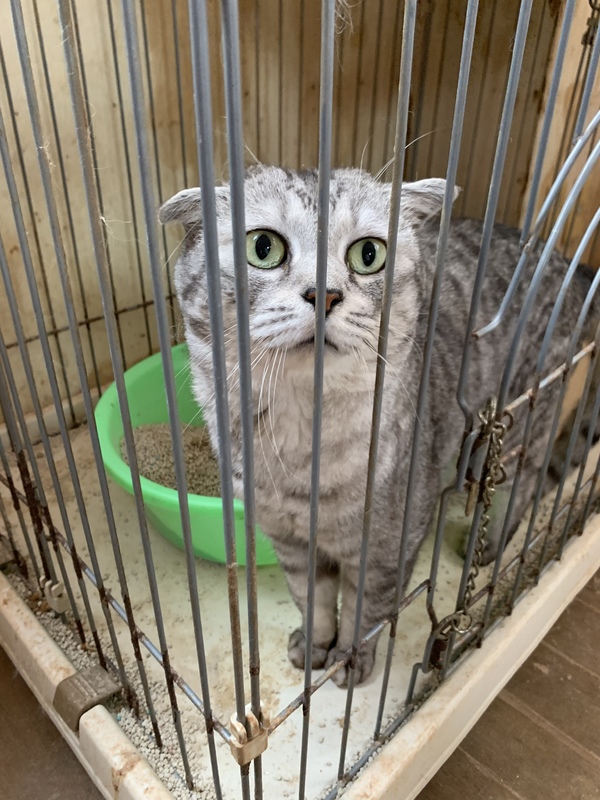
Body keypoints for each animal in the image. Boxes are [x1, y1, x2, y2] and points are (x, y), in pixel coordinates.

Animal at [159, 165, 597, 686]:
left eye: (368, 254)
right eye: (263, 247)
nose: (324, 293)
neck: (301, 447)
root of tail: (569, 261)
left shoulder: (387, 546)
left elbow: (365, 611)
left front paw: (350, 661)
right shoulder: (290, 542)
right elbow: (313, 600)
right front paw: (314, 647)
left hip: (522, 417)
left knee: (522, 486)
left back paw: (487, 542)